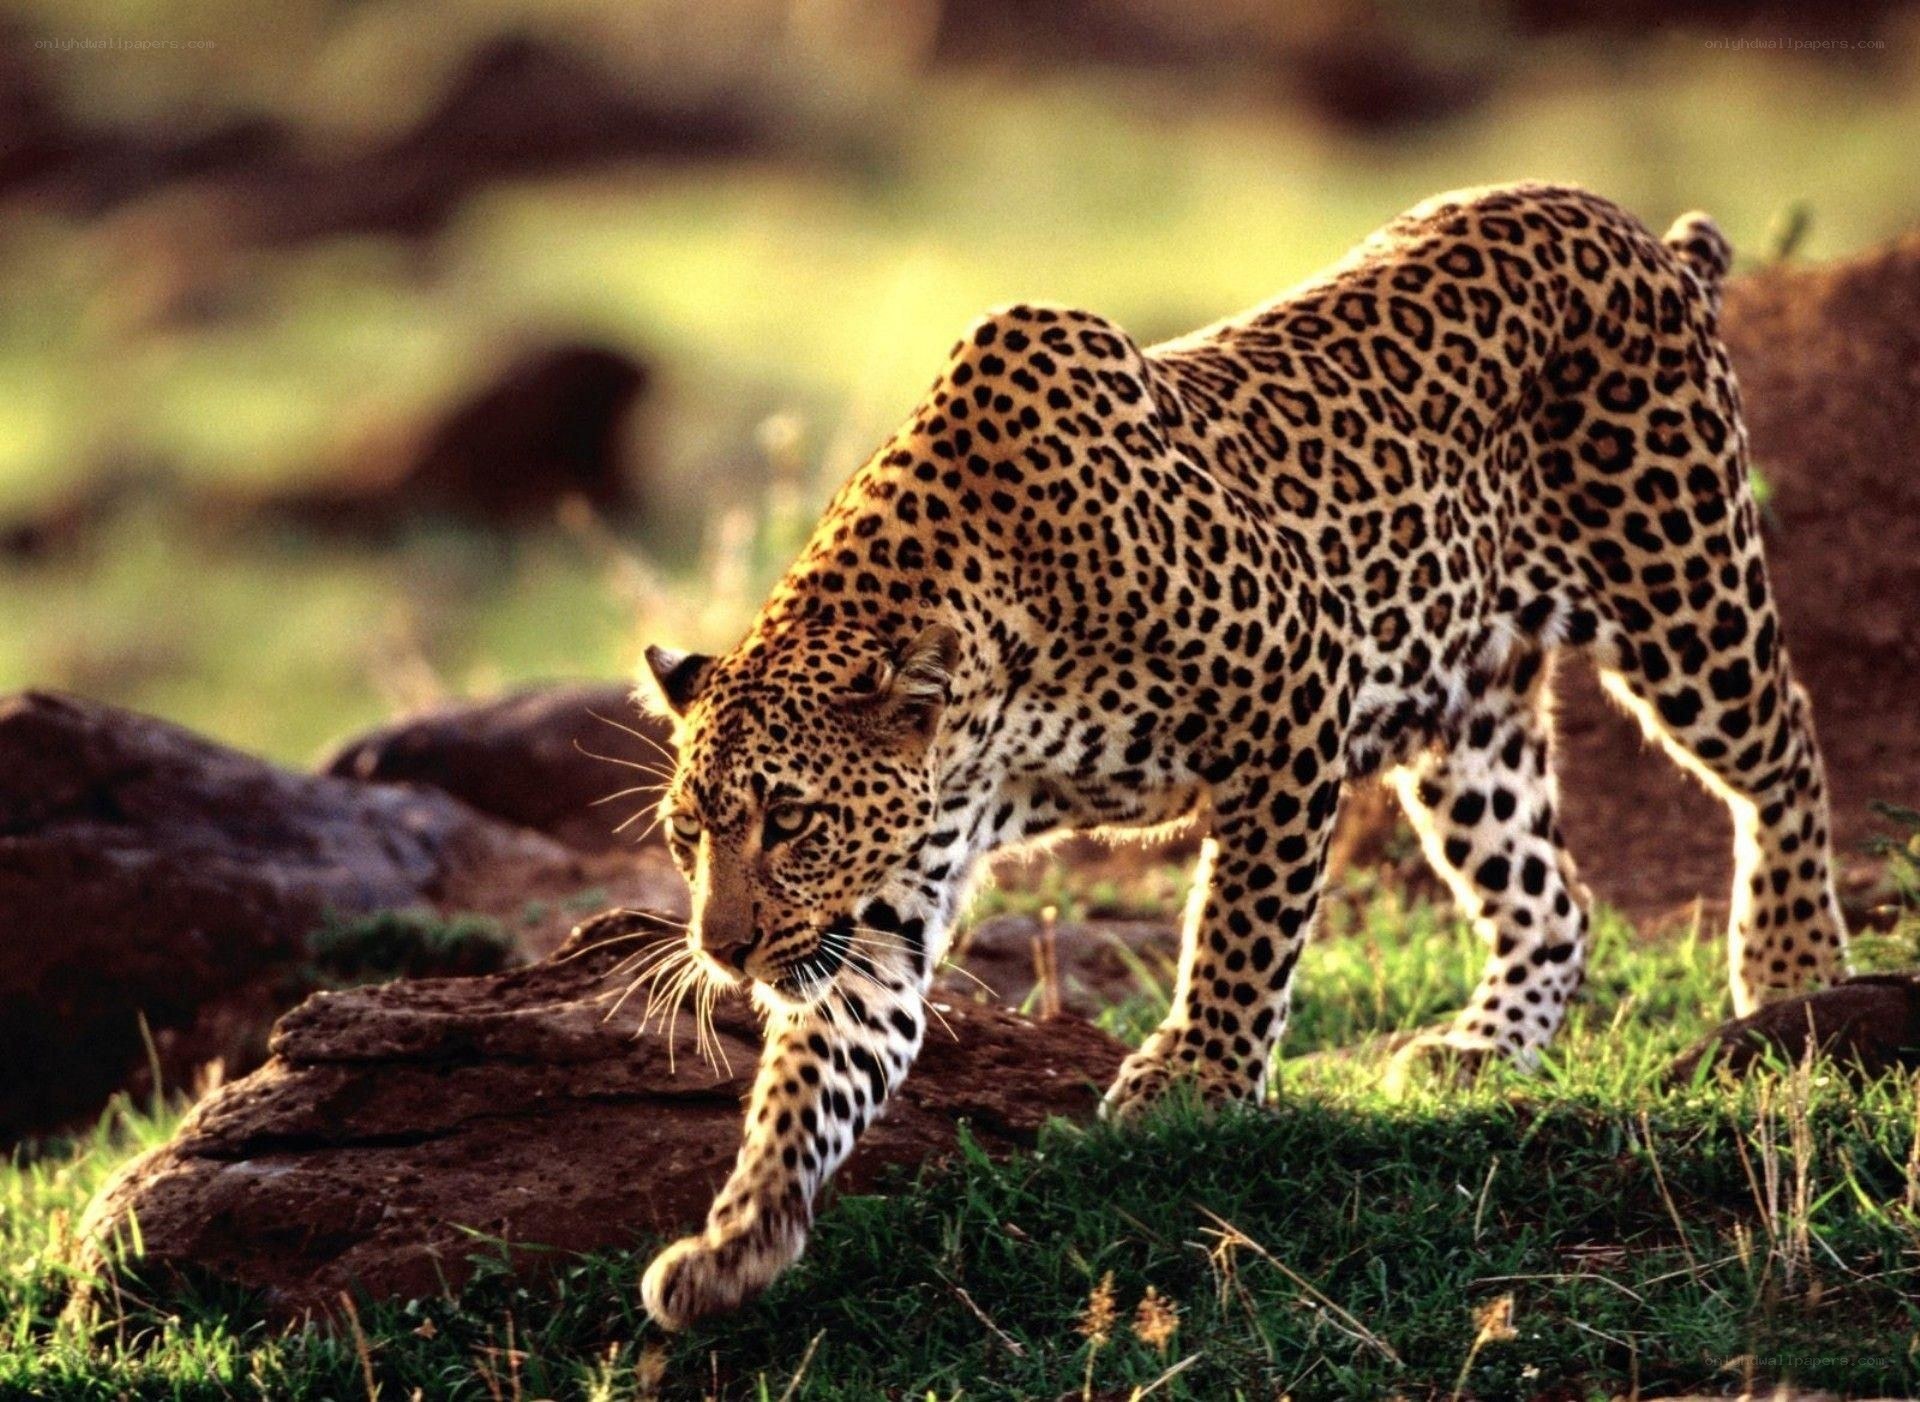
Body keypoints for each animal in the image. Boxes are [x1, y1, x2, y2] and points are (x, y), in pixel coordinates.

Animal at [634, 182, 1847, 1329]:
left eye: (791, 821)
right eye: (689, 834)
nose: (724, 951)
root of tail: (1636, 231)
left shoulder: (1296, 690)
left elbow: (1241, 926)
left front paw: (1198, 1078)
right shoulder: (885, 904)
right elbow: (819, 1073)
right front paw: (736, 1240)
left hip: (1683, 592)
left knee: (1786, 748)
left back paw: (1792, 971)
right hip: (1467, 715)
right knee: (1551, 896)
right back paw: (1483, 1047)